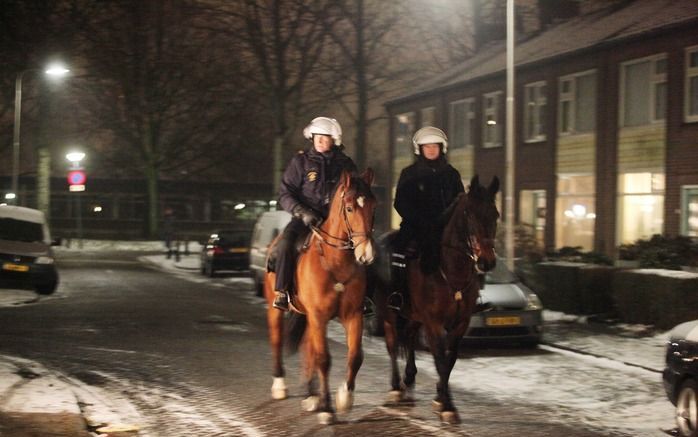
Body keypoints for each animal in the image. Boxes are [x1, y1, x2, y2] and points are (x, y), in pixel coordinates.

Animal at [264, 169, 376, 424]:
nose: (366, 255)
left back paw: (311, 395)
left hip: (309, 318)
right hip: (277, 311)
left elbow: (355, 356)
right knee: (277, 340)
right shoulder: (319, 316)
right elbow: (324, 359)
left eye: (373, 206)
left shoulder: (353, 315)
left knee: (308, 348)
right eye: (349, 208)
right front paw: (327, 409)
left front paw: (344, 398)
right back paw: (280, 385)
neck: (336, 262)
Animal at [378, 174, 498, 422]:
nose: (486, 261)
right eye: (469, 214)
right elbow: (440, 359)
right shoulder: (434, 323)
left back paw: (410, 377)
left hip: (413, 315)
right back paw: (396, 387)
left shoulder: (460, 323)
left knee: (409, 337)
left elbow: (450, 359)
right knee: (392, 344)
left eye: (495, 214)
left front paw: (441, 397)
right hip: (389, 312)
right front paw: (447, 405)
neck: (450, 271)